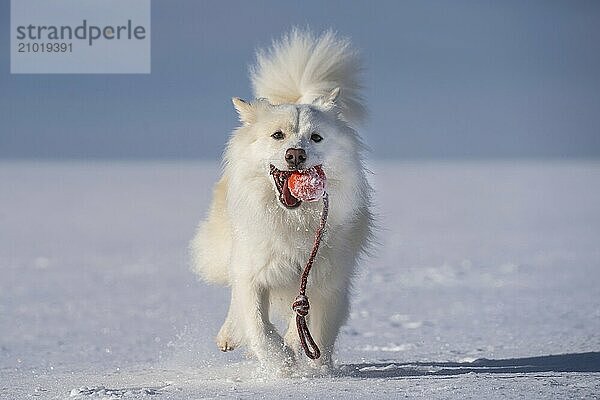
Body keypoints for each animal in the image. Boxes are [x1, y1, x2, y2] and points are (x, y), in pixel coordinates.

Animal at [190, 29, 372, 374]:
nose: (295, 155)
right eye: (277, 136)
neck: (293, 220)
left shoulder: (326, 280)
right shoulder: (253, 271)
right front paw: (281, 363)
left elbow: (313, 328)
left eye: (316, 138)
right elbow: (258, 324)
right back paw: (230, 337)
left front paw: (314, 366)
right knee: (236, 301)